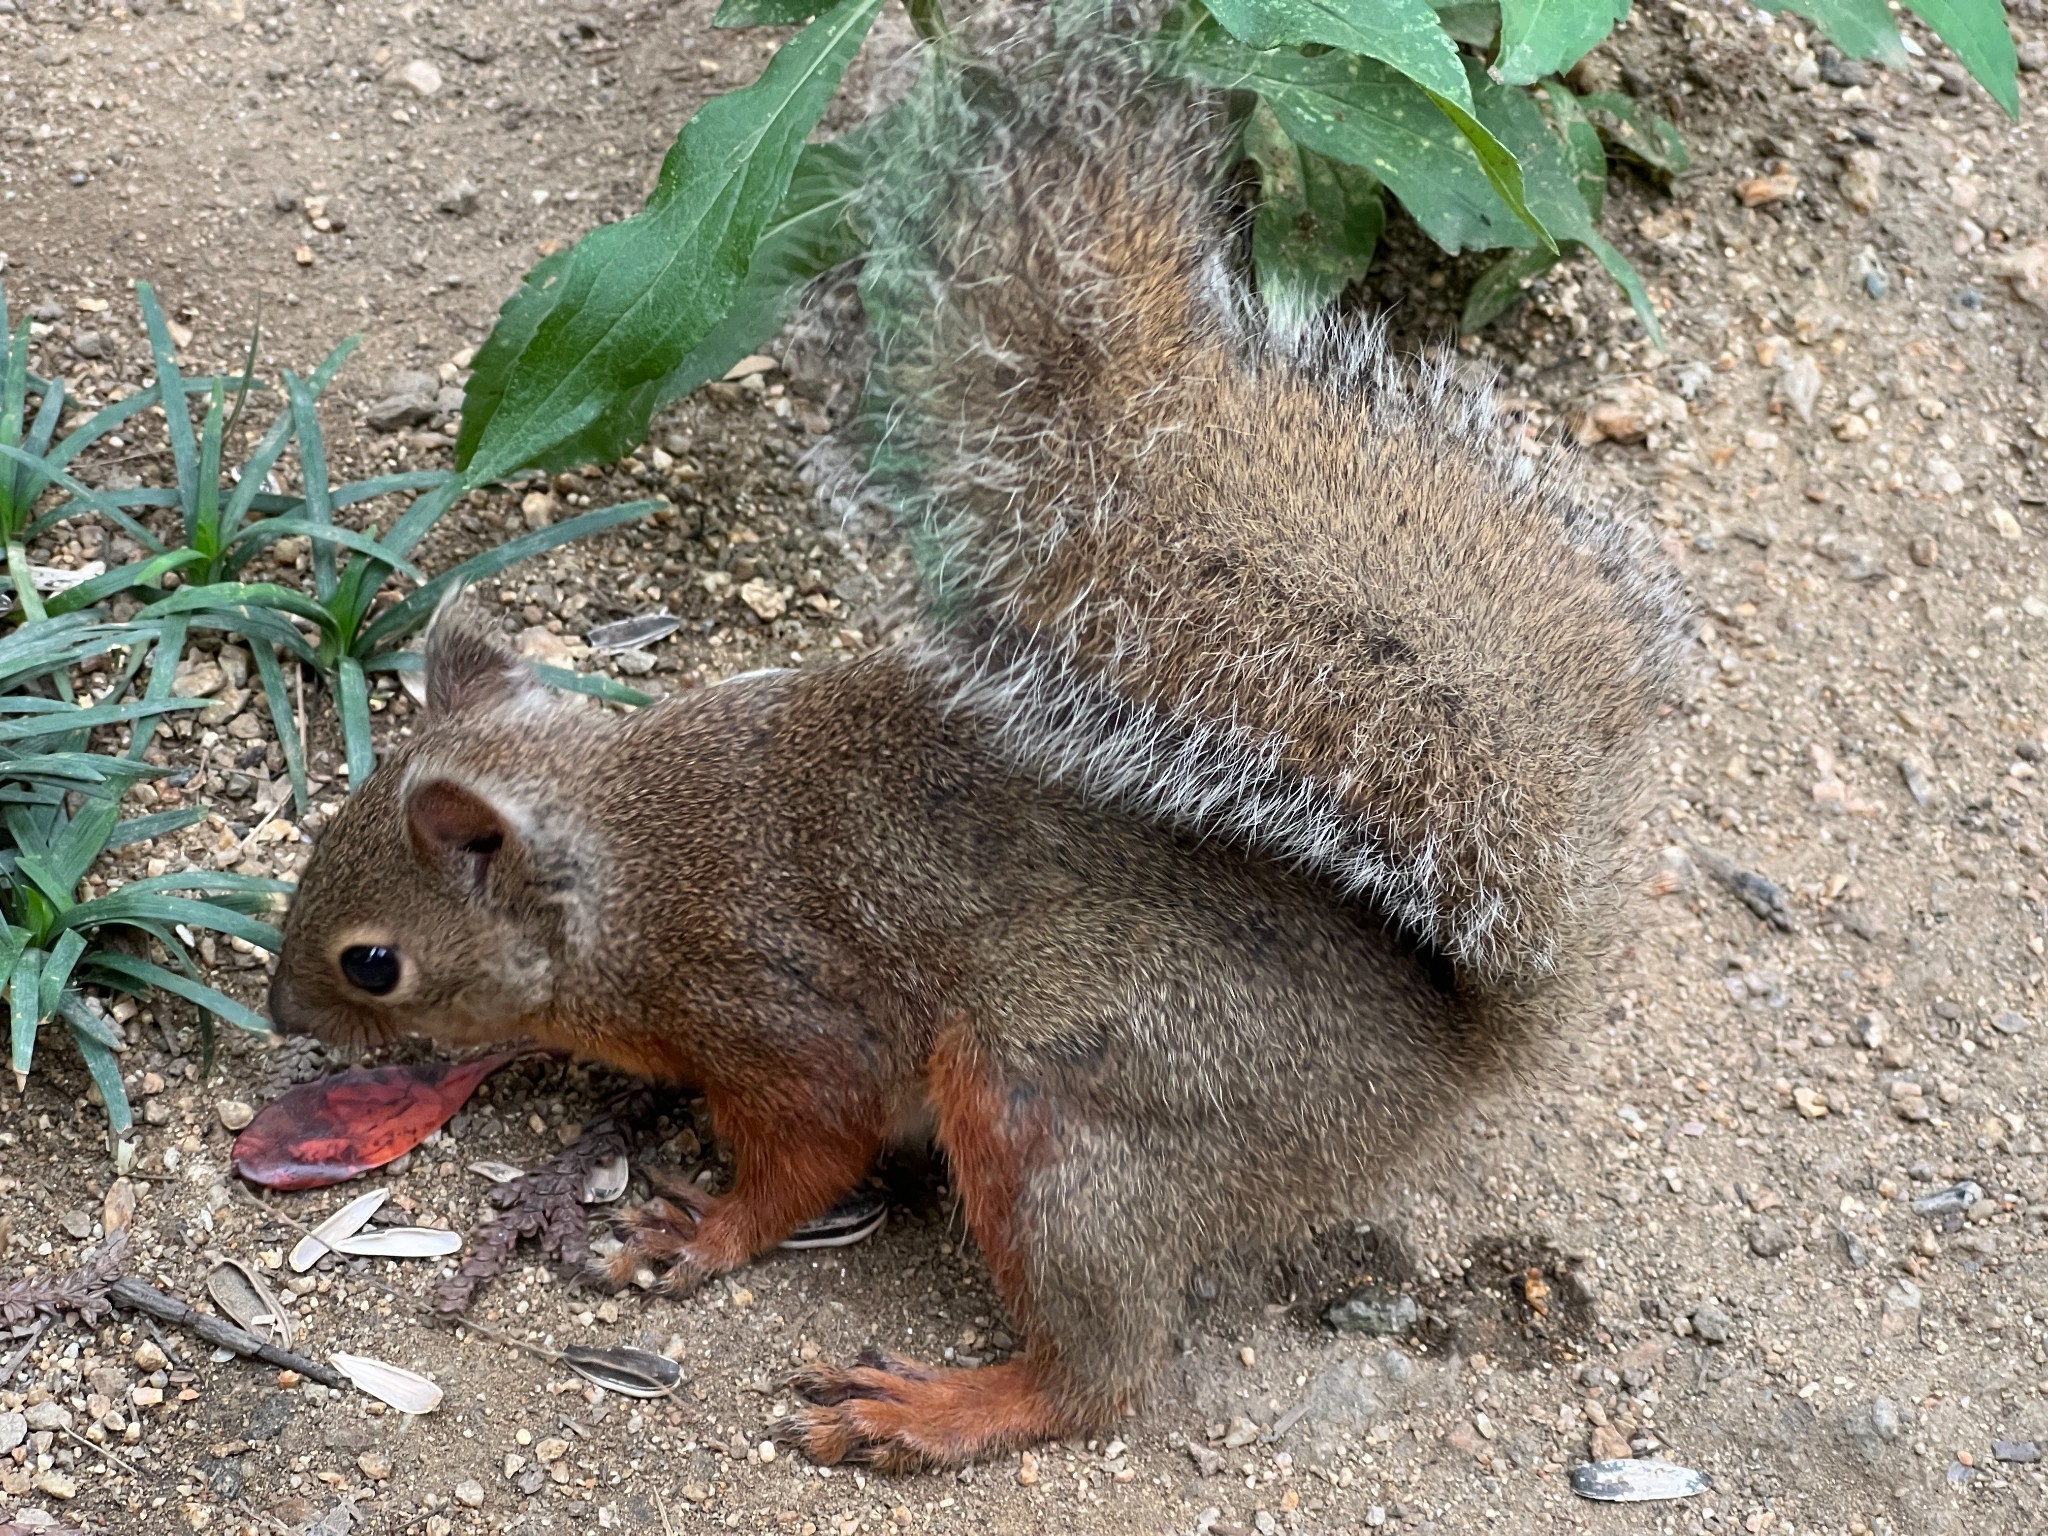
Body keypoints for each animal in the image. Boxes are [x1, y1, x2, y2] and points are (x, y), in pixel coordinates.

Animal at [268, 12, 1679, 1482]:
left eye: (372, 963)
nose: (281, 1018)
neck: (630, 866)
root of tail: (1437, 1064)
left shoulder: (784, 1023)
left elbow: (803, 1160)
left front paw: (699, 1230)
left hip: (1049, 1103)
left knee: (1103, 1376)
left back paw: (935, 1408)